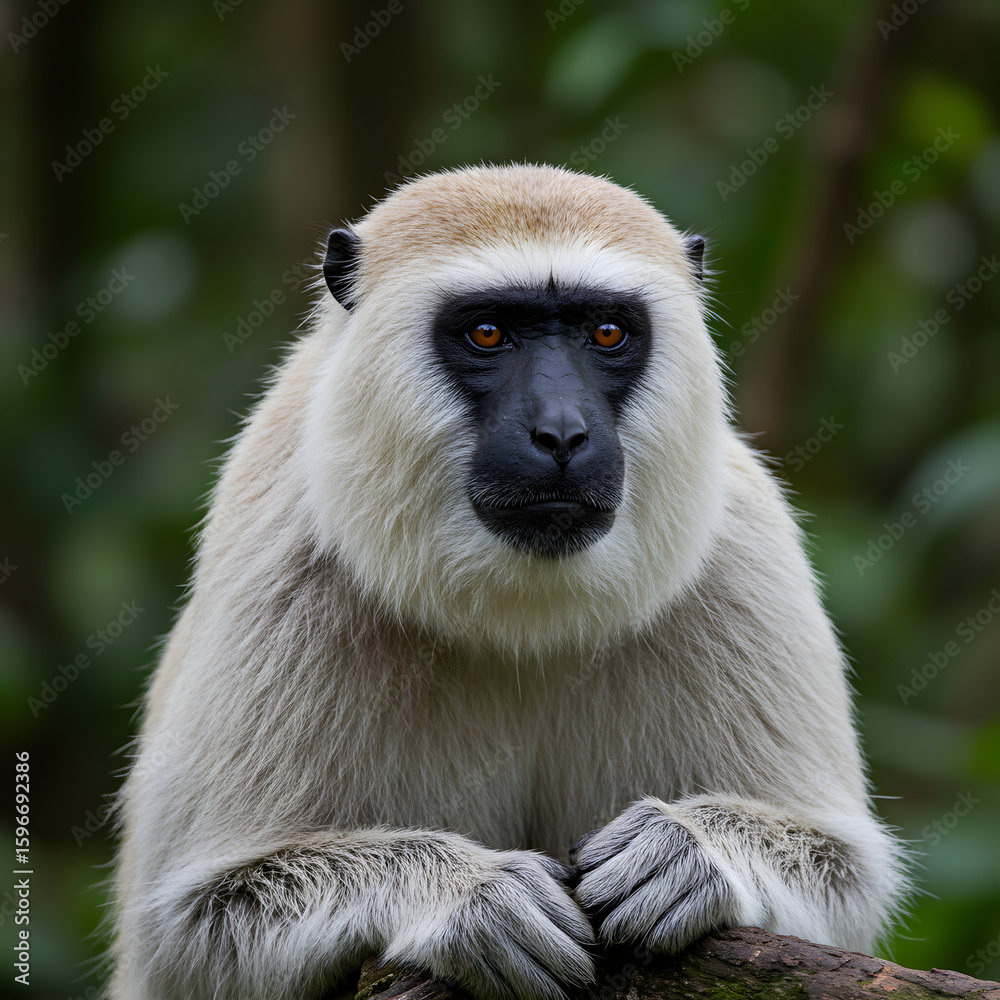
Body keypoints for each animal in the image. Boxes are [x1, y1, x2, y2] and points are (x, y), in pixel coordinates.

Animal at [109, 163, 908, 1000]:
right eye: (488, 333)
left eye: (607, 333)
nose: (560, 433)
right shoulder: (281, 559)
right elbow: (192, 932)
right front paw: (469, 897)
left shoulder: (741, 545)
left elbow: (845, 875)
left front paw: (685, 853)